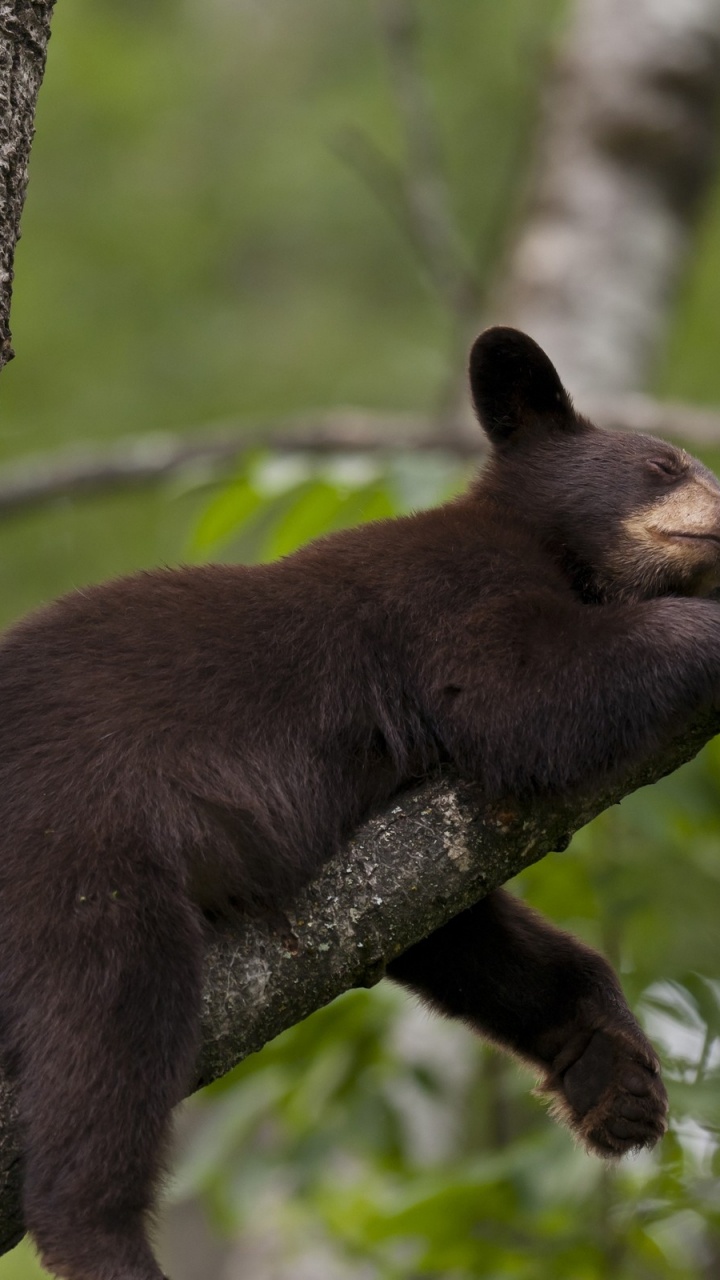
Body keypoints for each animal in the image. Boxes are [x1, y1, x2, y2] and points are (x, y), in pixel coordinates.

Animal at [0, 326, 718, 1279]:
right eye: (663, 463)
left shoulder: (404, 841)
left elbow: (445, 924)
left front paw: (612, 1072)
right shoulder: (441, 598)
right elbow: (519, 691)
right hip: (76, 844)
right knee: (110, 1019)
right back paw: (104, 1238)